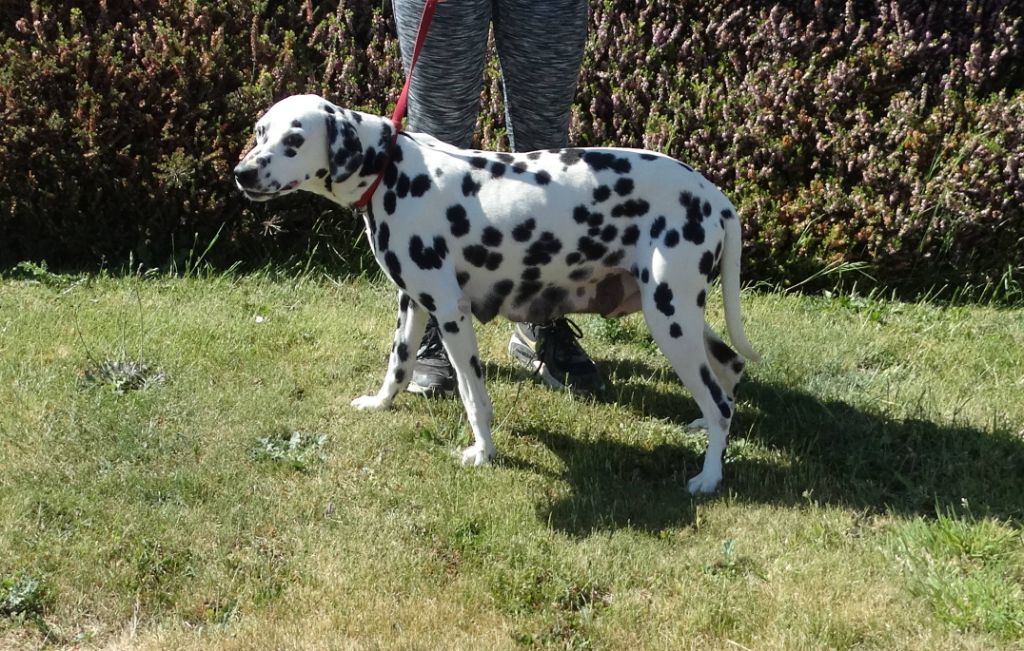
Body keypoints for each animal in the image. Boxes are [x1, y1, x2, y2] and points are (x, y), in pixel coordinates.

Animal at [234, 94, 761, 493]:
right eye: (260, 132)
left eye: (294, 140)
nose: (242, 173)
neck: (392, 172)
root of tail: (715, 196)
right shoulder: (413, 306)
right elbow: (398, 364)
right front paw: (382, 404)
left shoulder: (451, 314)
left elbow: (474, 397)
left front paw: (483, 452)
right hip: (680, 316)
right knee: (728, 372)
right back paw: (707, 432)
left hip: (671, 321)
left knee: (719, 401)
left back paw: (709, 476)